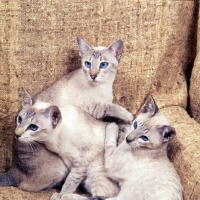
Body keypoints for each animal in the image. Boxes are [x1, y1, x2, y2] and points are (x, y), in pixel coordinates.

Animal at [0, 37, 131, 192]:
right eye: (87, 64)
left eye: (103, 65)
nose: (93, 75)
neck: (102, 87)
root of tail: (13, 169)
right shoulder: (88, 108)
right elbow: (108, 107)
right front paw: (128, 116)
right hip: (60, 168)